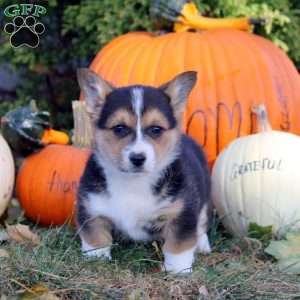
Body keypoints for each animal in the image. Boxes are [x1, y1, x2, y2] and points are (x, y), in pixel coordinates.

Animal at [75, 68, 211, 274]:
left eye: (156, 129)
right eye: (119, 128)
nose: (138, 158)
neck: (134, 182)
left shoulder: (182, 212)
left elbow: (178, 245)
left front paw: (177, 270)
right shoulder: (92, 207)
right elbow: (96, 238)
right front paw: (96, 261)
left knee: (201, 224)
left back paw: (202, 246)